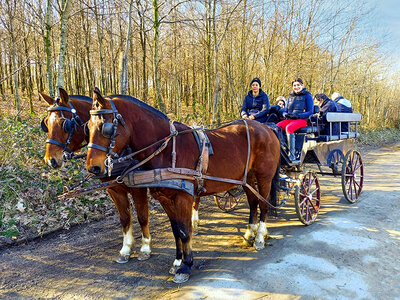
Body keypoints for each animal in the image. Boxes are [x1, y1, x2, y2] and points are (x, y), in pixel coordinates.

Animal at [39, 87, 152, 262]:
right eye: (46, 124)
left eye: (65, 124)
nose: (50, 160)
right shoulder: (113, 189)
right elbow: (125, 218)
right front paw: (126, 248)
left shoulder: (138, 187)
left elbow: (142, 215)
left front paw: (145, 248)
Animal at [86, 87, 280, 284]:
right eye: (88, 126)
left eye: (105, 127)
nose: (93, 168)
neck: (167, 149)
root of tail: (267, 129)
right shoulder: (165, 198)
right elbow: (175, 230)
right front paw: (177, 261)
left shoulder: (183, 197)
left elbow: (185, 230)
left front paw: (186, 266)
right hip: (247, 178)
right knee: (253, 202)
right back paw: (250, 234)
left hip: (264, 177)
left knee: (263, 204)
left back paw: (260, 238)